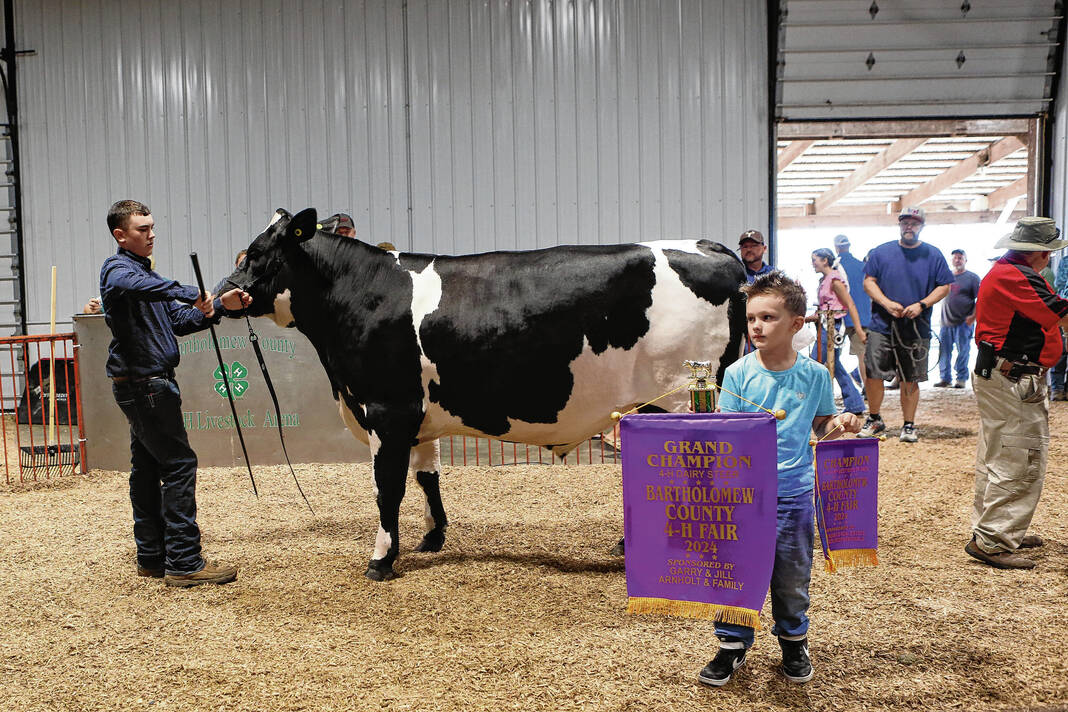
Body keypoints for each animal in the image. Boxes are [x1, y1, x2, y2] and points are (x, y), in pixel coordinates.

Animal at [224, 208, 747, 581]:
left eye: (256, 253)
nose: (223, 294)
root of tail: (713, 249)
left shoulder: (388, 409)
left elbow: (387, 487)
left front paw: (381, 560)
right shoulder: (419, 416)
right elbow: (427, 477)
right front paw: (432, 537)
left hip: (683, 399)